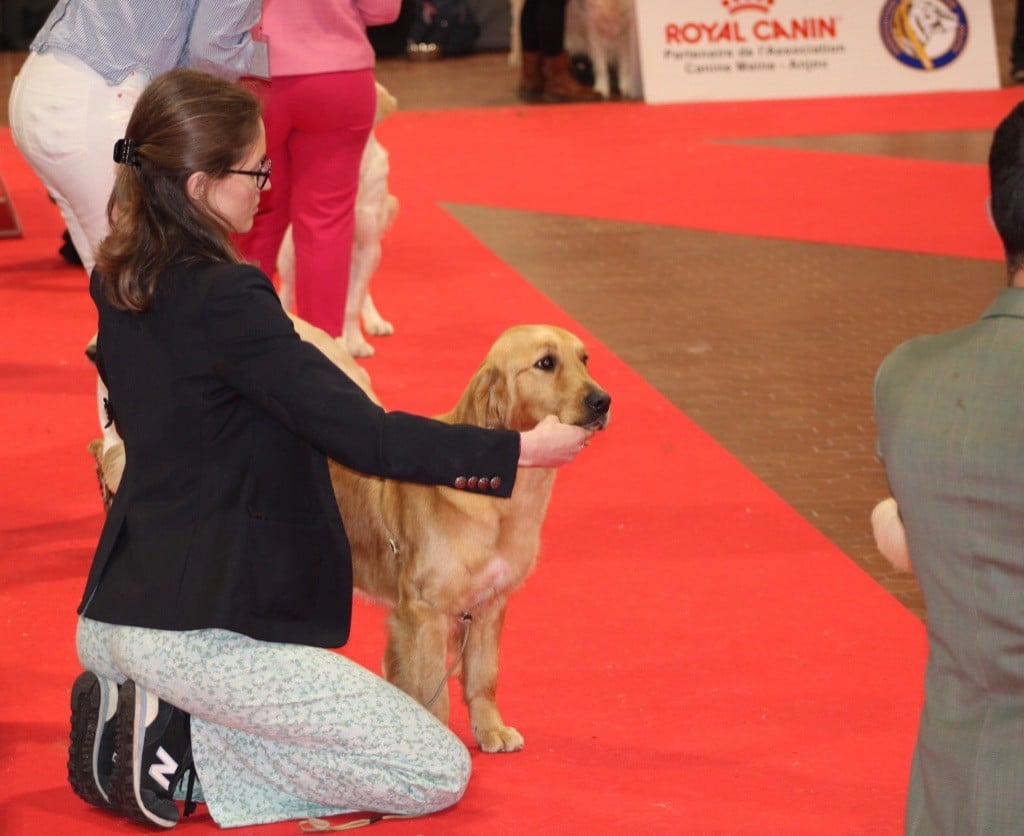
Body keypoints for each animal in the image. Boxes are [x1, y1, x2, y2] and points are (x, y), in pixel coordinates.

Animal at [331, 325, 610, 749]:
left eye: (585, 359)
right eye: (546, 363)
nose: (602, 401)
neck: (503, 500)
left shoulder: (490, 604)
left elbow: (483, 676)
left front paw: (491, 729)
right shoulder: (424, 610)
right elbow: (433, 691)